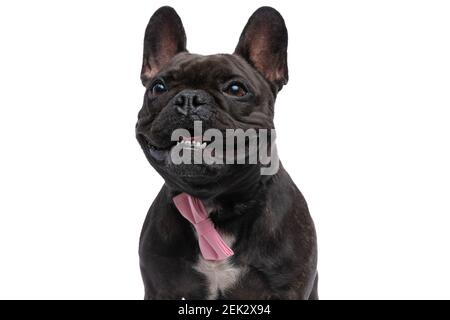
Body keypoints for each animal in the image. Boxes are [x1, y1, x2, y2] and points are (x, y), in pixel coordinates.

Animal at [135, 5, 318, 300]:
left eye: (235, 89)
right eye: (158, 87)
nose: (190, 98)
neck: (213, 205)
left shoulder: (288, 289)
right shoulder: (159, 287)